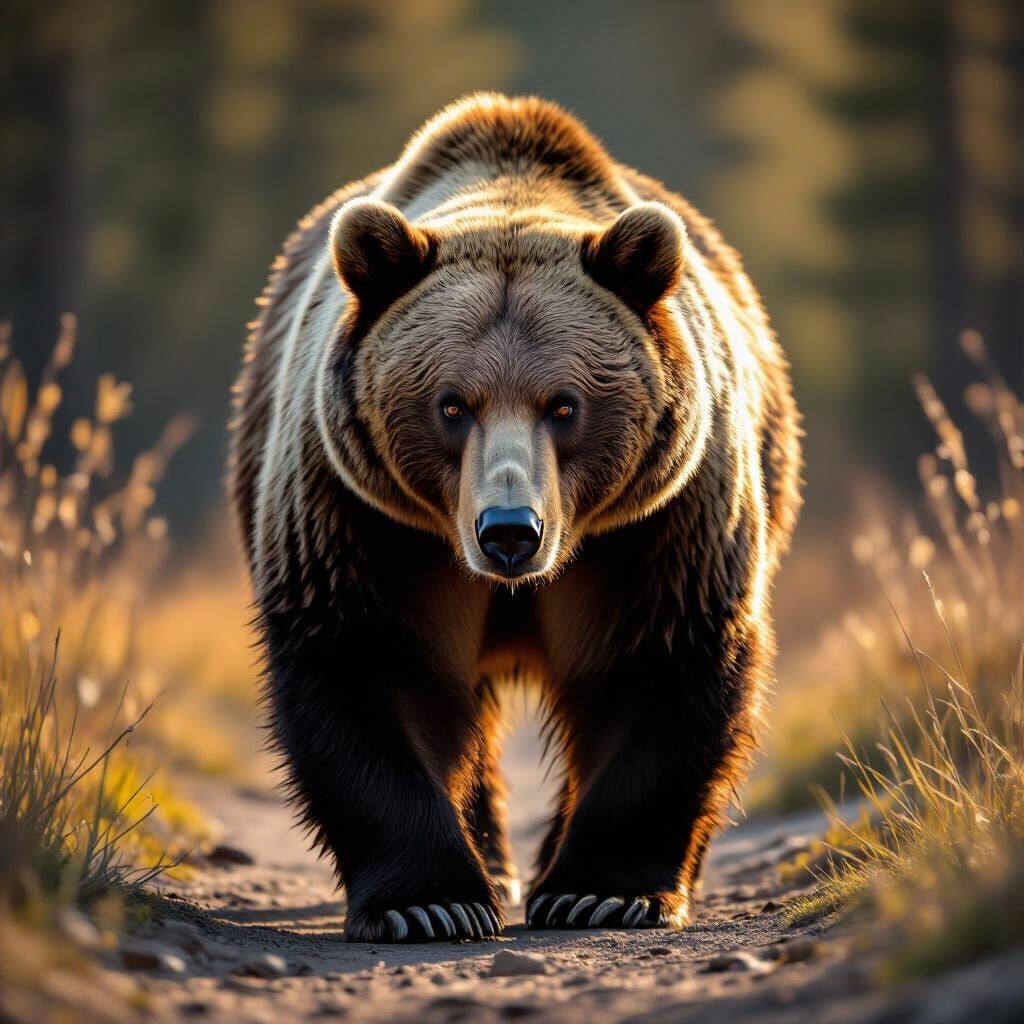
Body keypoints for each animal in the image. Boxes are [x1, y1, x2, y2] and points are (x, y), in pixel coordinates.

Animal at [229, 93, 802, 943]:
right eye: (451, 404)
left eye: (564, 404)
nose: (508, 531)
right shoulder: (361, 519)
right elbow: (364, 663)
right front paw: (428, 901)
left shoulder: (660, 525)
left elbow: (664, 664)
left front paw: (602, 892)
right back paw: (495, 866)